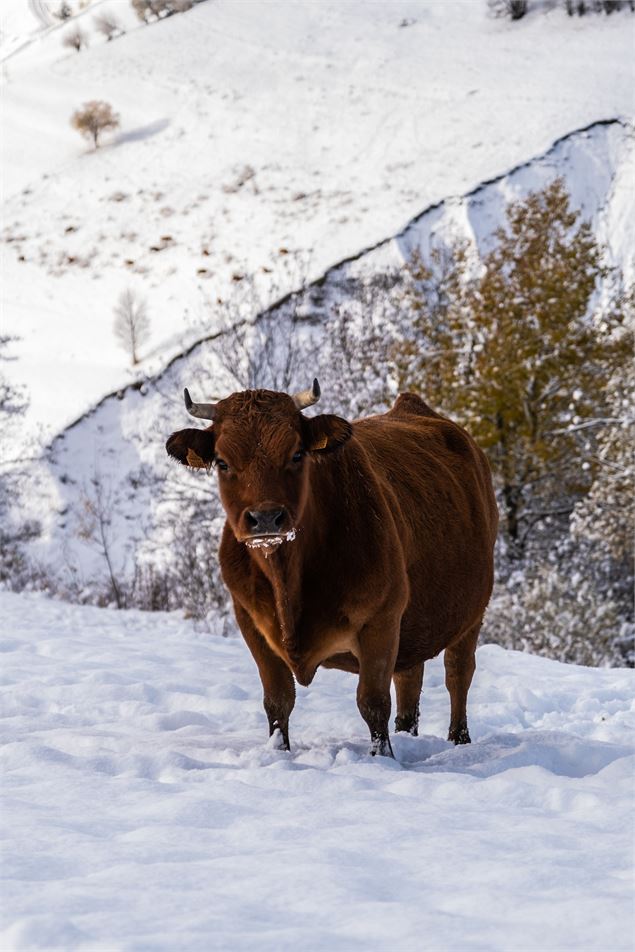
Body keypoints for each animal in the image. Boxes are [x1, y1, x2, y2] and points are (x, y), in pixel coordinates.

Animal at [166, 380, 500, 760]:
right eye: (222, 462)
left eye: (297, 454)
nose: (265, 518)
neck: (289, 584)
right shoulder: (251, 622)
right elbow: (277, 701)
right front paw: (279, 753)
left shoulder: (381, 620)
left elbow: (372, 702)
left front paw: (382, 759)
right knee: (409, 680)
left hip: (471, 613)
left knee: (458, 673)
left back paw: (459, 739)